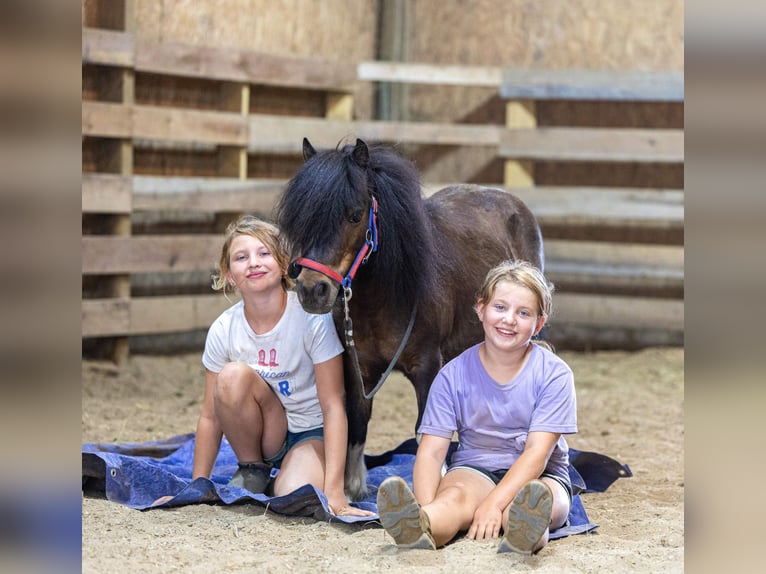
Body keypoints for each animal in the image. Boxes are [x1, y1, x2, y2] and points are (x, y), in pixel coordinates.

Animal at [275, 138, 544, 501]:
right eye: (301, 218)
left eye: (354, 215)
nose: (312, 290)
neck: (385, 298)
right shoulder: (358, 368)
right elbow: (357, 420)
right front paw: (352, 489)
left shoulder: (427, 366)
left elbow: (426, 431)